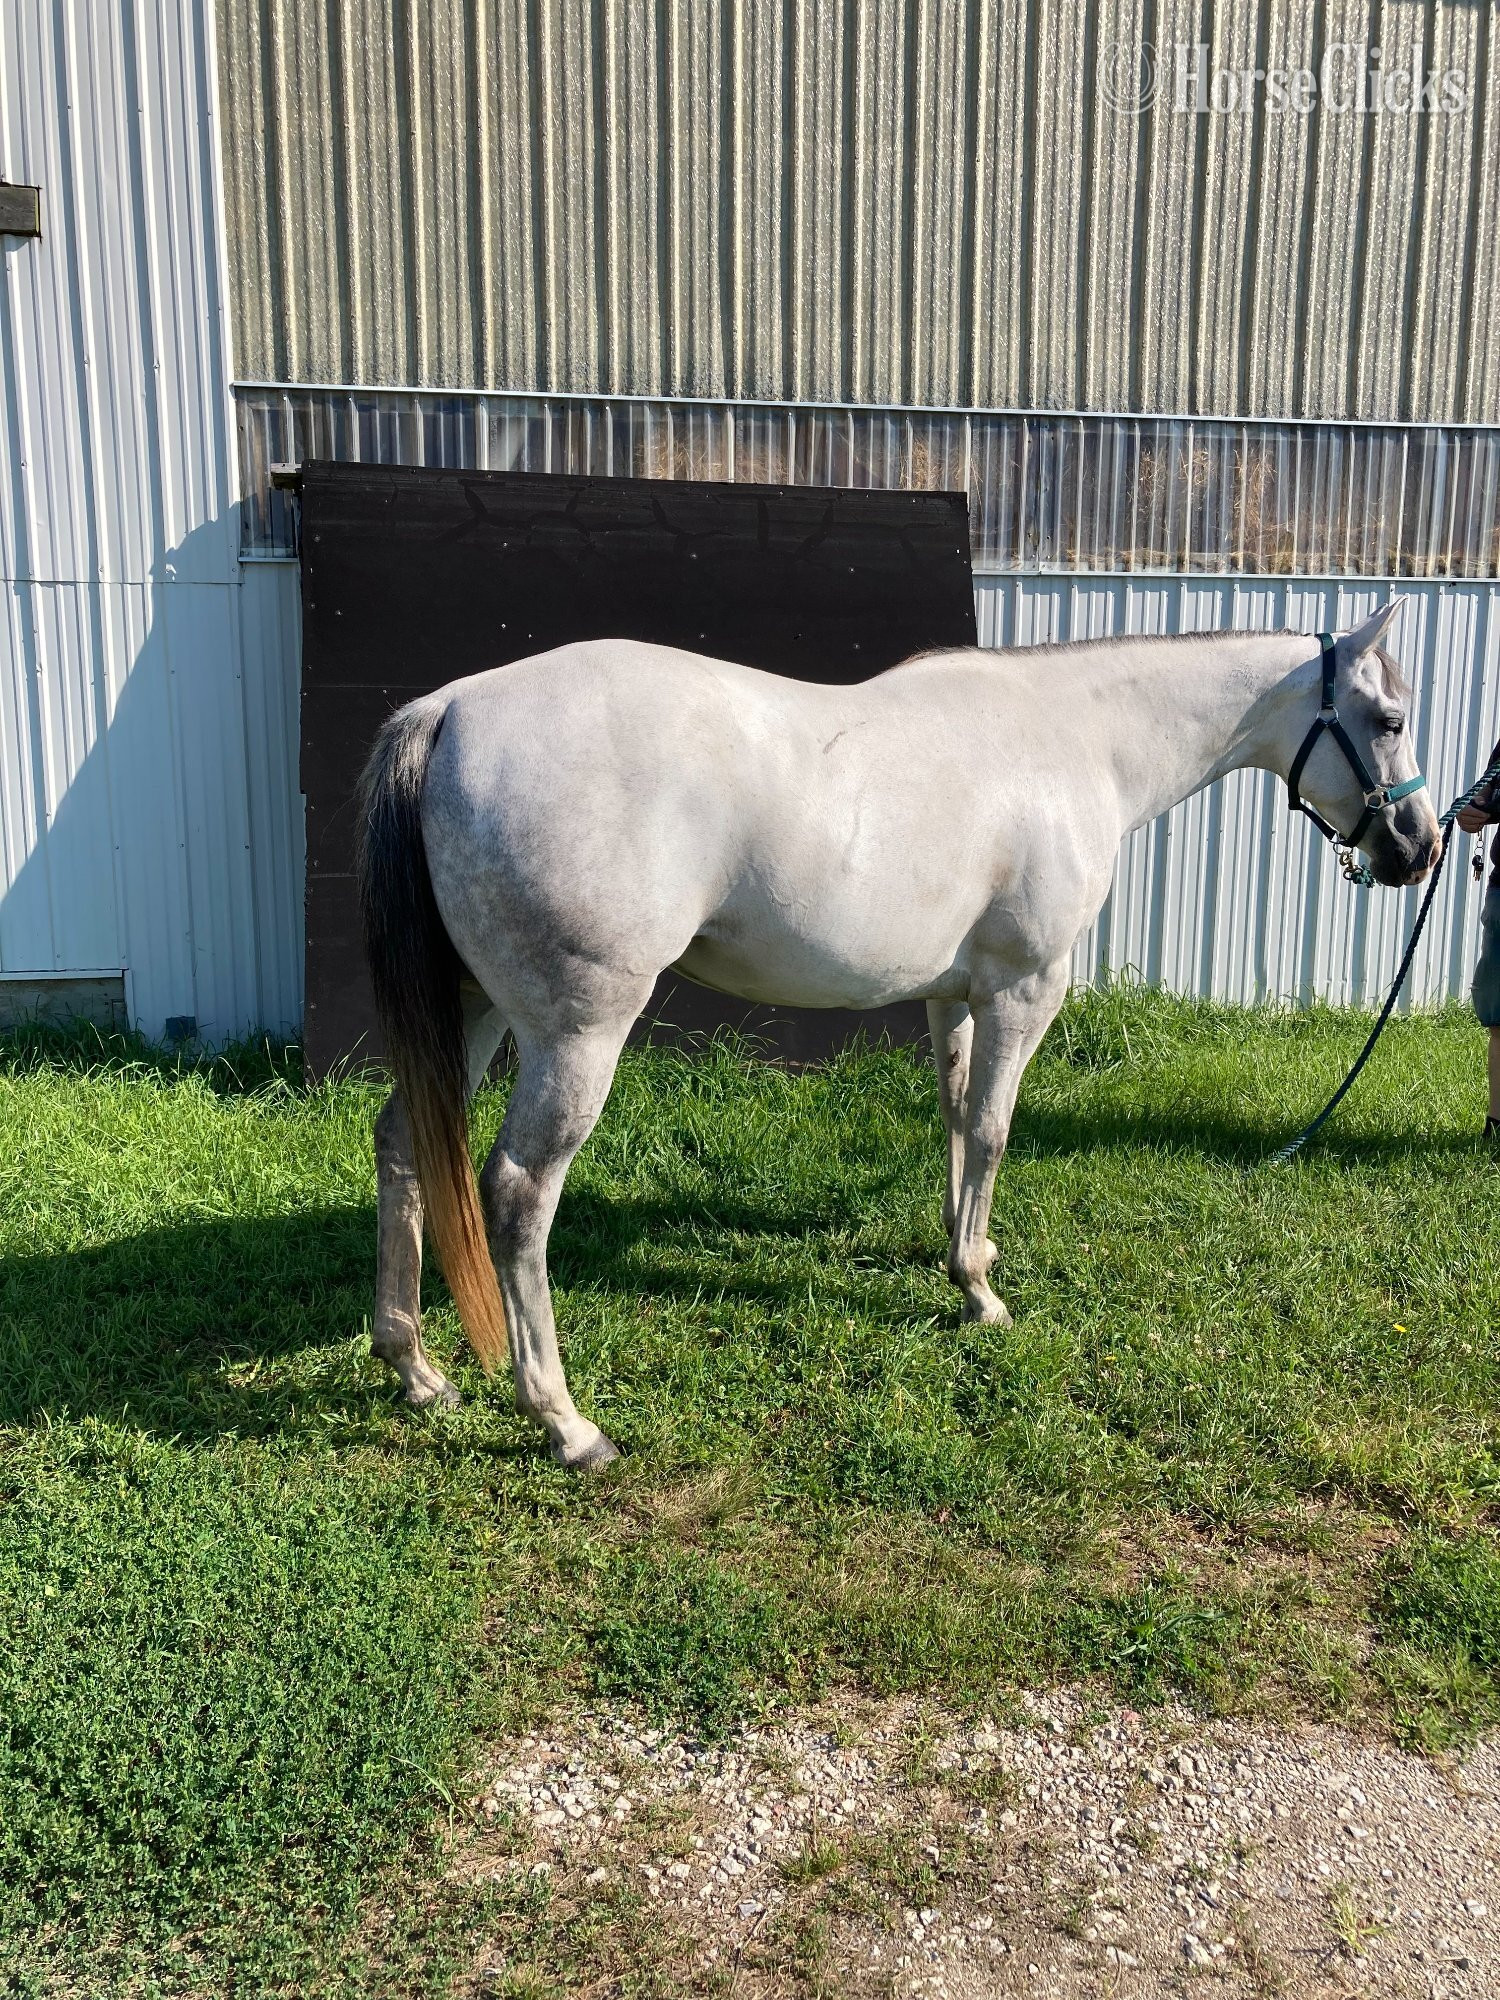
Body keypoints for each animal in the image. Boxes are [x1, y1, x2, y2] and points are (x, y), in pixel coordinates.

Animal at [355, 601, 1439, 1467]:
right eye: (1387, 720)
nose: (1419, 845)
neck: (1076, 740)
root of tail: (452, 709)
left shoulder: (953, 995)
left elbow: (957, 1118)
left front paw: (966, 1256)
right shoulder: (1024, 992)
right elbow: (995, 1129)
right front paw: (983, 1297)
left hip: (473, 1012)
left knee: (404, 1144)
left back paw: (416, 1369)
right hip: (576, 1033)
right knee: (517, 1193)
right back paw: (565, 1422)